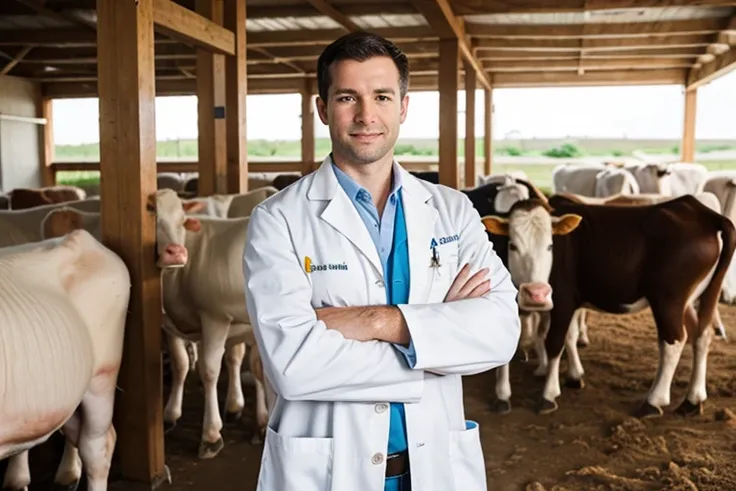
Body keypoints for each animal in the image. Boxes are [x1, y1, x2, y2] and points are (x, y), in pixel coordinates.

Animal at [484, 194, 736, 418]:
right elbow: (567, 336)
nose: (535, 292)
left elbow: (555, 342)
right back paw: (692, 400)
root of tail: (699, 211)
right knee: (701, 336)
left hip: (668, 299)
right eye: (512, 245)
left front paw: (548, 394)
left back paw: (654, 401)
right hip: (695, 298)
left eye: (549, 246)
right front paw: (570, 376)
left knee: (673, 341)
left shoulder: (563, 301)